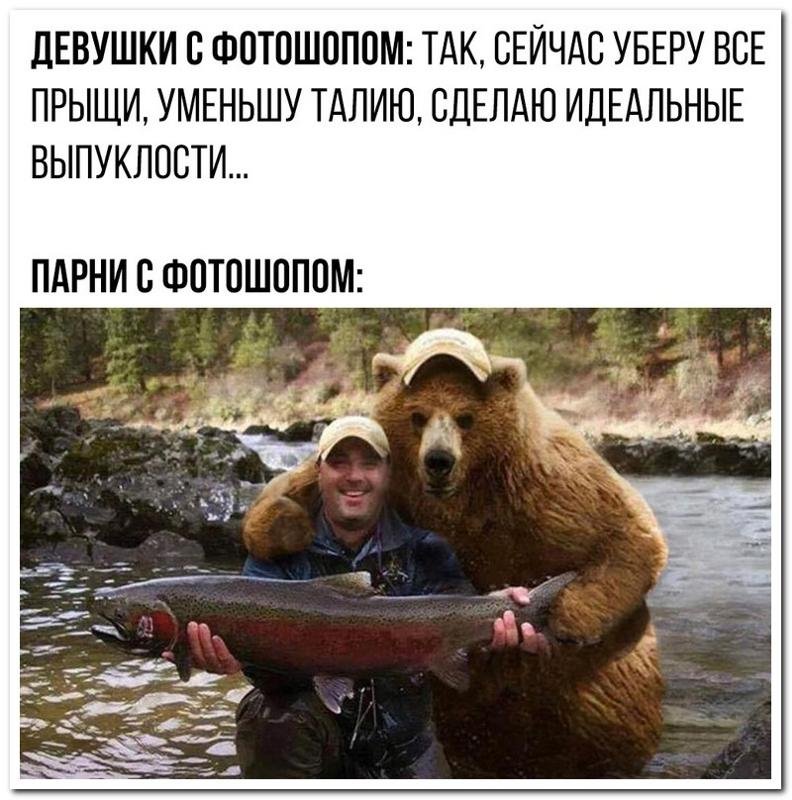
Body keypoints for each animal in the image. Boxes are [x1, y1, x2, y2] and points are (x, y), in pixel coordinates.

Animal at [242, 329, 668, 778]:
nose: (438, 461)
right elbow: (282, 494)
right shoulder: (402, 480)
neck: (465, 498)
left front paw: (567, 618)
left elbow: (631, 536)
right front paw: (285, 525)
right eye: (418, 415)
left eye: (466, 417)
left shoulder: (549, 485)